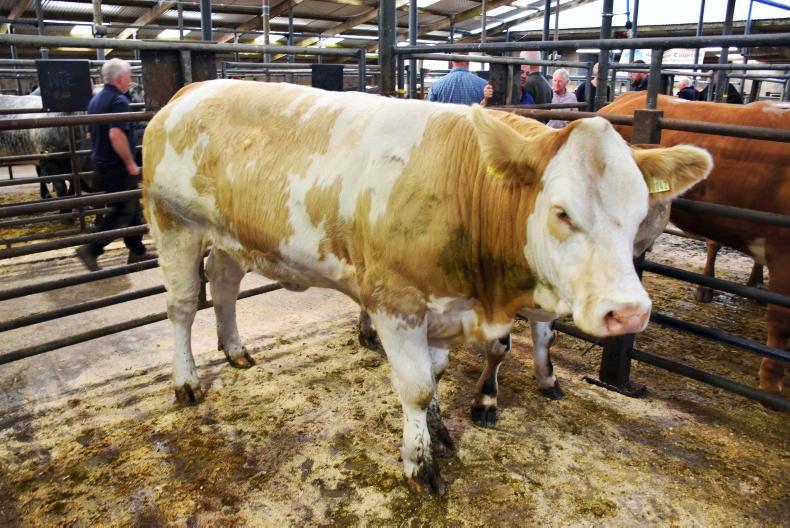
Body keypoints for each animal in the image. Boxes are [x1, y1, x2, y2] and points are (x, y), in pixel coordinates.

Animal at [142, 80, 711, 493]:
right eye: (562, 212)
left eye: (640, 211)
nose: (629, 313)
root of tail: (189, 90)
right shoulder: (397, 305)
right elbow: (416, 387)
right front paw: (420, 464)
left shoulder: (445, 309)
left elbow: (436, 378)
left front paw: (441, 433)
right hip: (173, 225)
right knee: (182, 307)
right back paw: (186, 381)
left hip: (230, 238)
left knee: (224, 285)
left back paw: (236, 349)